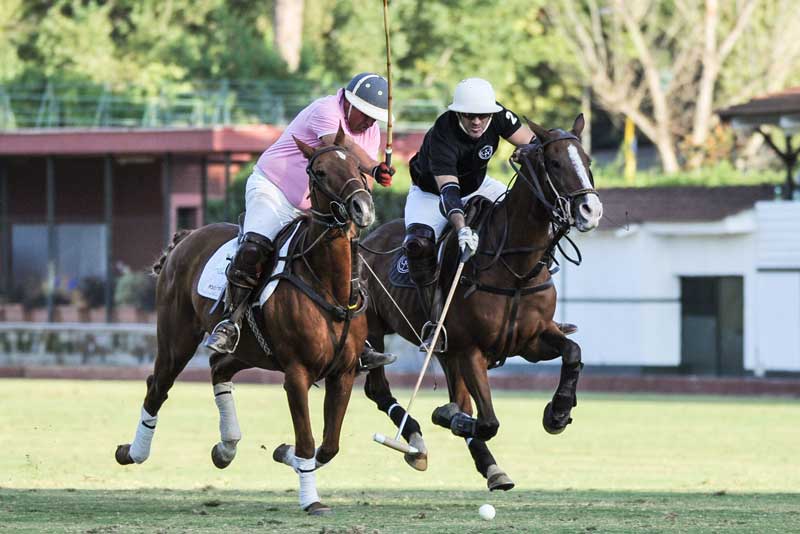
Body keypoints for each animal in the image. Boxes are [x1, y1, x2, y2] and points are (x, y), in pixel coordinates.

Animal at [115, 127, 376, 516]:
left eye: (359, 167)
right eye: (319, 172)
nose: (362, 208)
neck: (326, 283)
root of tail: (186, 237)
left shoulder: (343, 373)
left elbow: (329, 445)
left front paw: (285, 455)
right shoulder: (296, 372)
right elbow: (307, 440)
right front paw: (311, 499)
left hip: (250, 350)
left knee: (218, 367)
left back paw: (226, 447)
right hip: (177, 338)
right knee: (158, 385)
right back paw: (133, 452)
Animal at [360, 117, 600, 494]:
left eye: (587, 161)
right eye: (555, 163)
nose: (591, 211)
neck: (515, 267)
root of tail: (368, 239)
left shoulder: (531, 341)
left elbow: (573, 351)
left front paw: (558, 412)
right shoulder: (471, 349)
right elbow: (486, 421)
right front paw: (448, 416)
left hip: (446, 354)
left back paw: (490, 466)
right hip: (377, 329)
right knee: (379, 387)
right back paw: (416, 440)